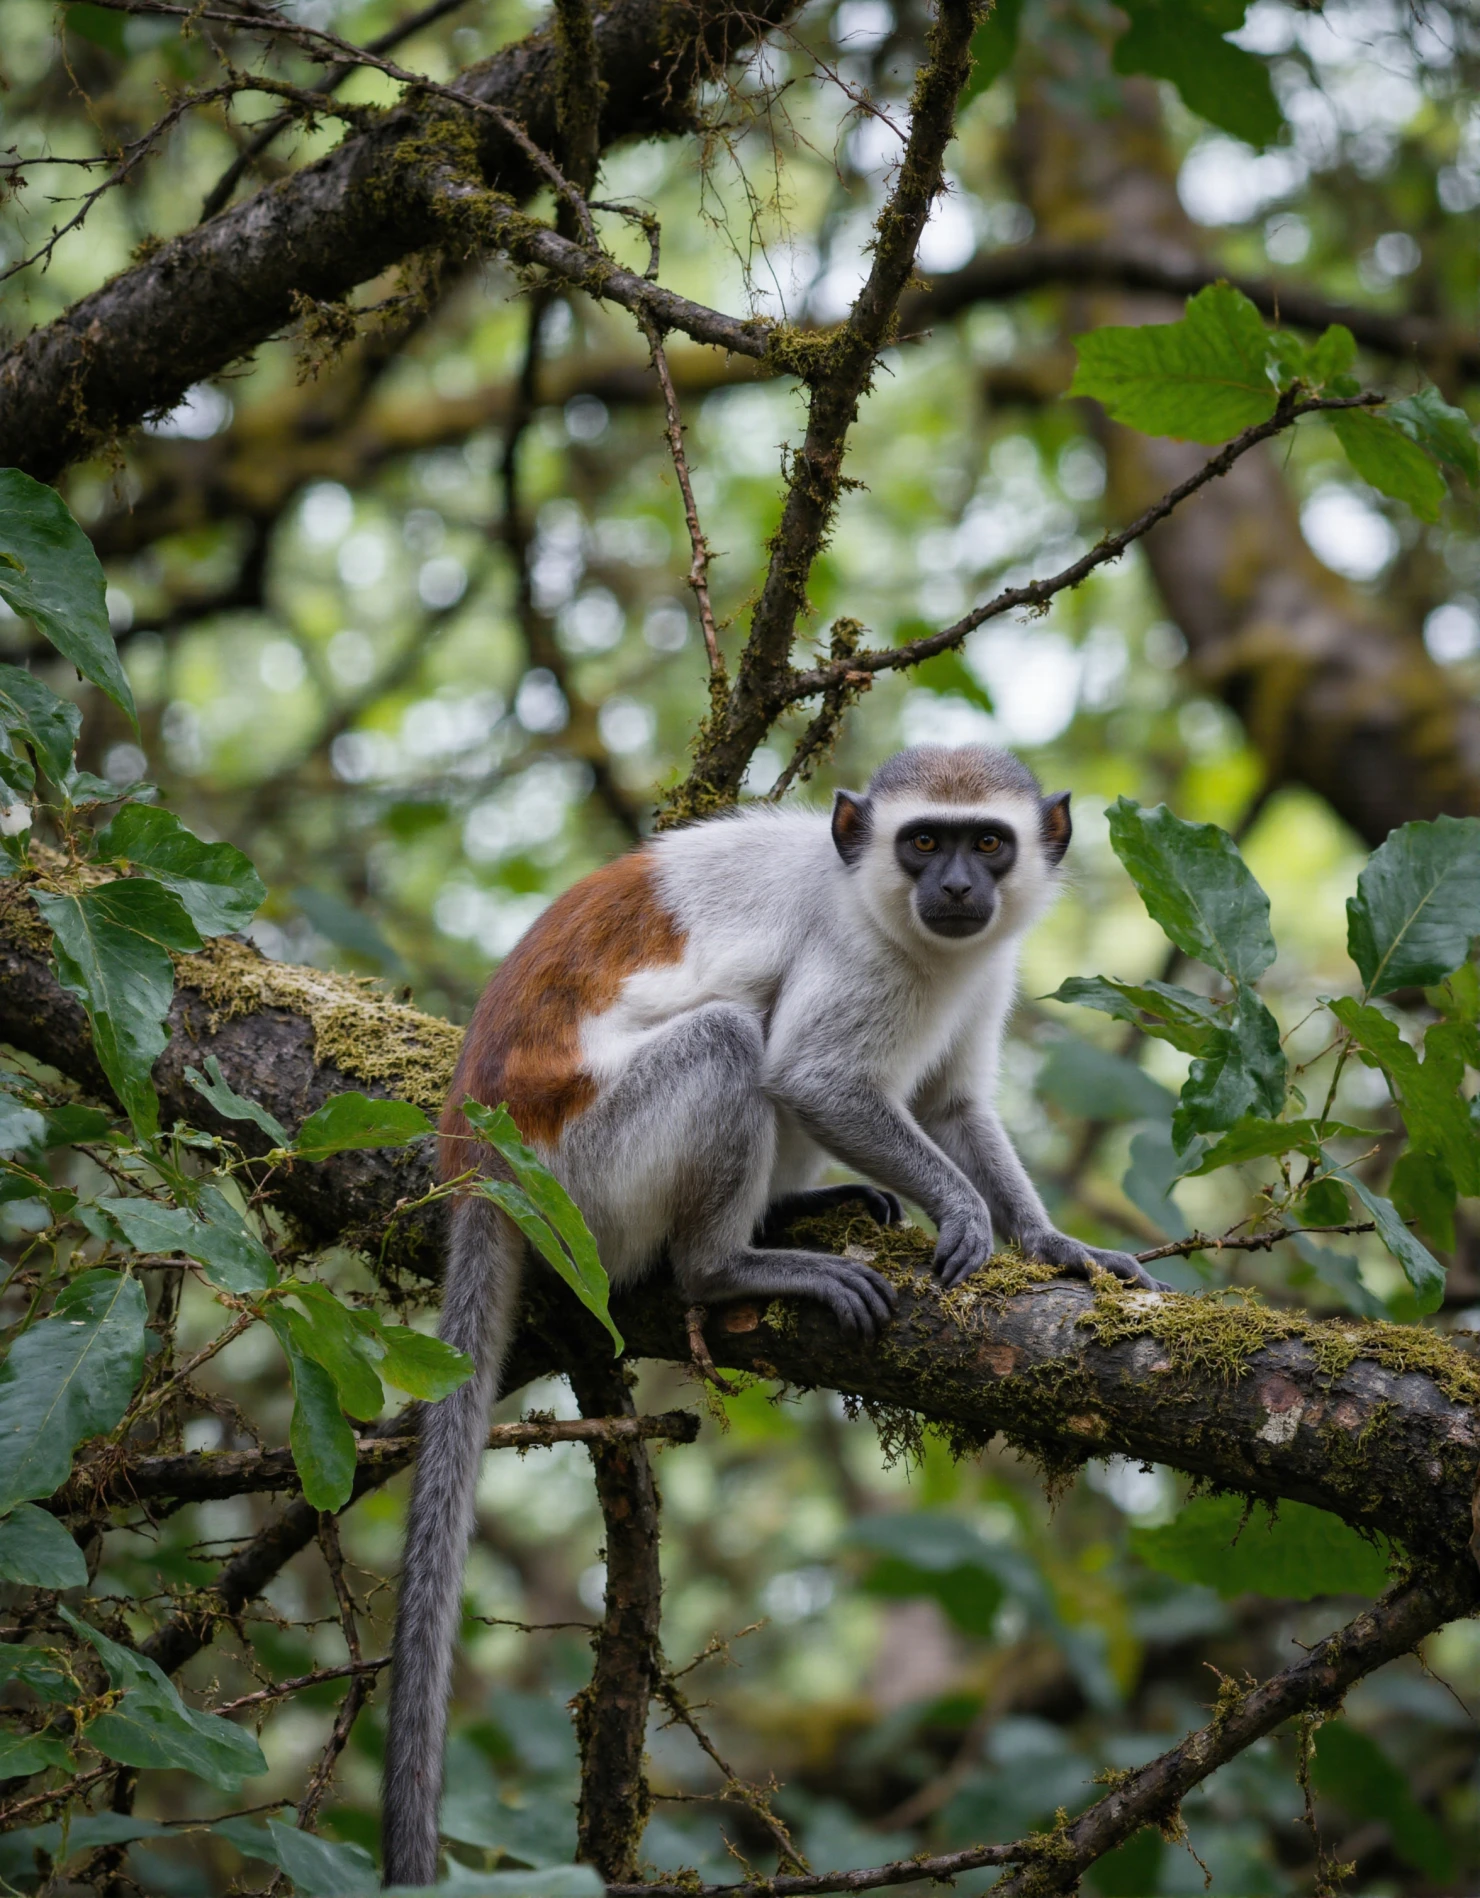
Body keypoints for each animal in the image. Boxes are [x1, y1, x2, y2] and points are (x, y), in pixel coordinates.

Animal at [381, 743, 1166, 1886]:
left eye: (988, 842)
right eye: (923, 842)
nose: (955, 889)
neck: (880, 903)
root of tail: (479, 1156)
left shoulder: (980, 969)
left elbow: (949, 1107)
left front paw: (1051, 1243)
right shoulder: (855, 953)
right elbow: (814, 1077)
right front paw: (966, 1212)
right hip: (588, 1181)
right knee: (729, 1039)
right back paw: (729, 1265)